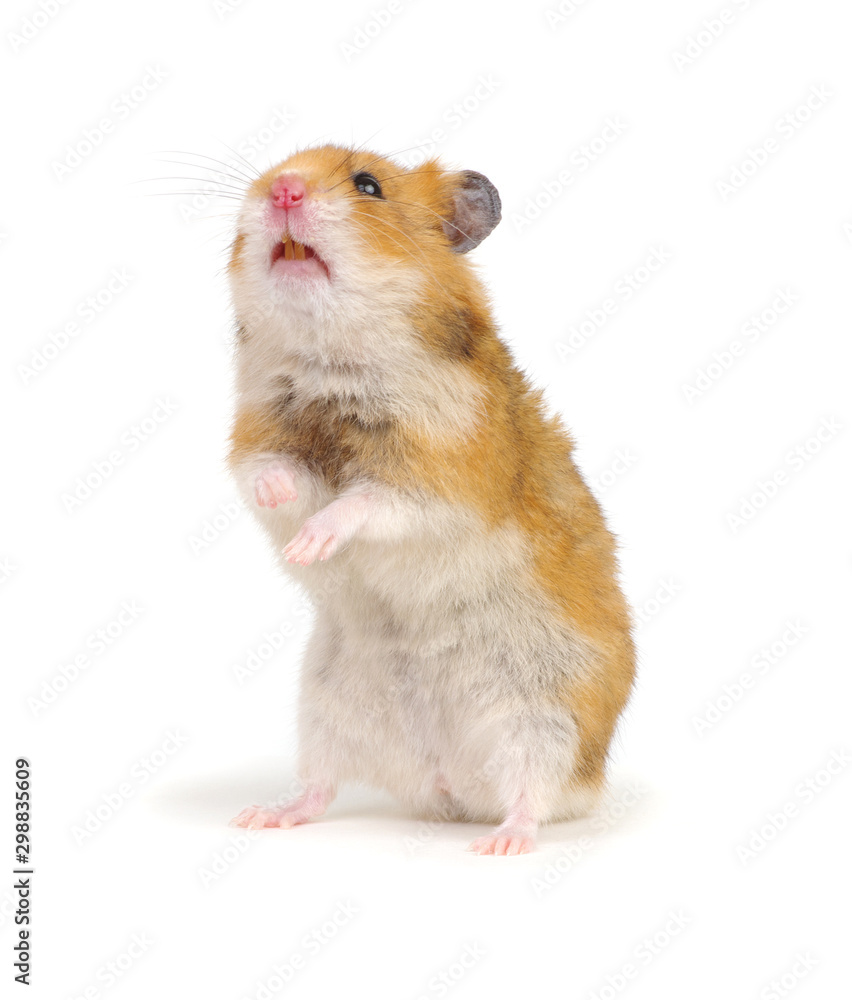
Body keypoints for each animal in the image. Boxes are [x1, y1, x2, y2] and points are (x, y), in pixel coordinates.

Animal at [223, 143, 636, 860]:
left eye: (368, 186)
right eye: (276, 169)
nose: (284, 190)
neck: (330, 365)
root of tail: (449, 786)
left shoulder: (438, 483)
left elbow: (363, 504)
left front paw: (310, 546)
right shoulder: (258, 436)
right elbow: (271, 476)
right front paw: (291, 520)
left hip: (543, 721)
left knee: (533, 794)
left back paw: (501, 844)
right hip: (323, 710)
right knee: (320, 788)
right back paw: (262, 817)